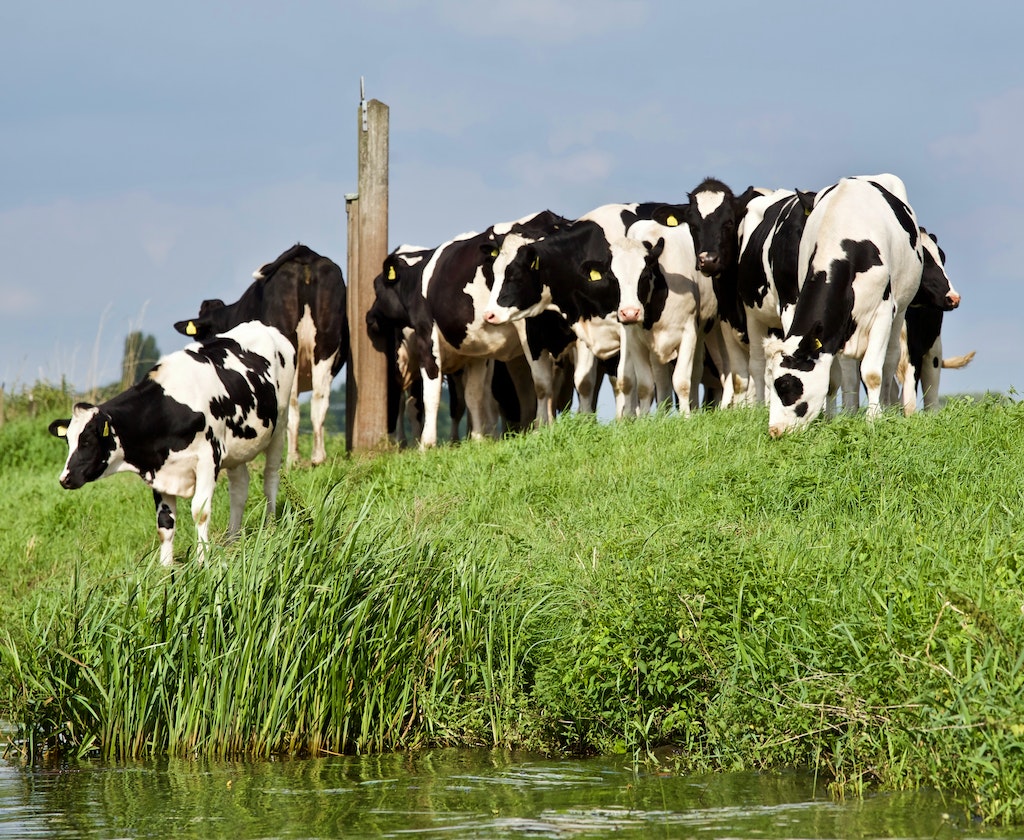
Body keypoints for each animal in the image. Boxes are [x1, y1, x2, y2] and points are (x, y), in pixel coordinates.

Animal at [48, 319, 296, 565]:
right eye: (68, 441)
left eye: (88, 441)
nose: (64, 479)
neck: (170, 408)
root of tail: (260, 325)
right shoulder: (160, 470)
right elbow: (165, 523)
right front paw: (165, 568)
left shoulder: (208, 458)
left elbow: (200, 511)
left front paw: (202, 561)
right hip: (237, 449)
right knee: (239, 488)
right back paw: (232, 540)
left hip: (280, 425)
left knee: (270, 477)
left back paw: (270, 528)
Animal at [172, 242, 348, 465]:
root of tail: (305, 254)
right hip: (325, 347)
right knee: (319, 399)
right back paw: (318, 457)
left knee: (291, 403)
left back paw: (292, 459)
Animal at [765, 175, 925, 436]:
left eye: (786, 385)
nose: (775, 430)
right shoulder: (832, 333)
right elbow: (832, 381)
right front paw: (830, 420)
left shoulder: (882, 313)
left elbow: (872, 373)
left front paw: (874, 419)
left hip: (900, 309)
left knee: (890, 360)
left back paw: (887, 407)